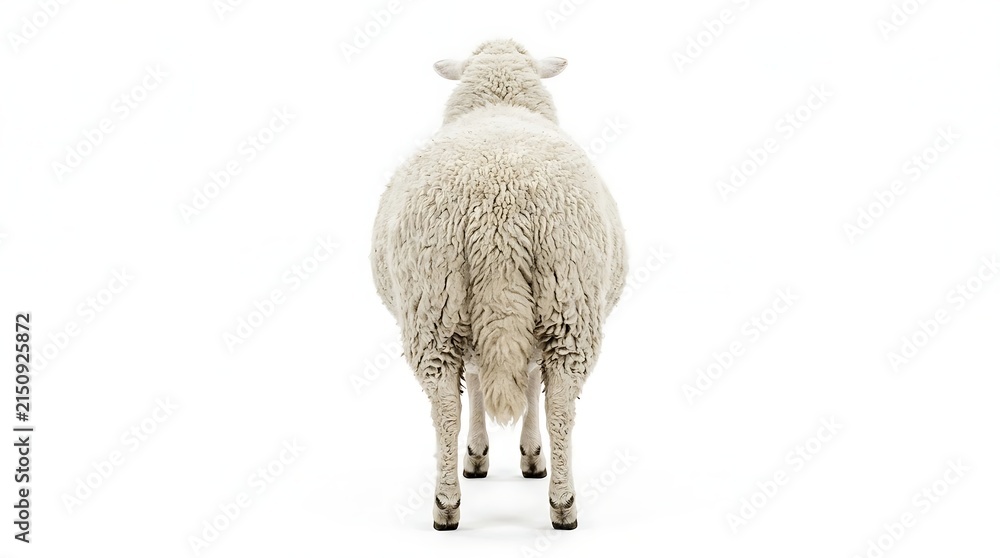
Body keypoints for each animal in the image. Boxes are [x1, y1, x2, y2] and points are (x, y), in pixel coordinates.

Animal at [370, 39, 627, 531]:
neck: (500, 103)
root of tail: (499, 213)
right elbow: (518, 381)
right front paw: (510, 454)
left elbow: (494, 379)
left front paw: (492, 454)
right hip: (560, 304)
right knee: (558, 405)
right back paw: (559, 503)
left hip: (441, 307)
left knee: (447, 408)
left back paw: (450, 501)